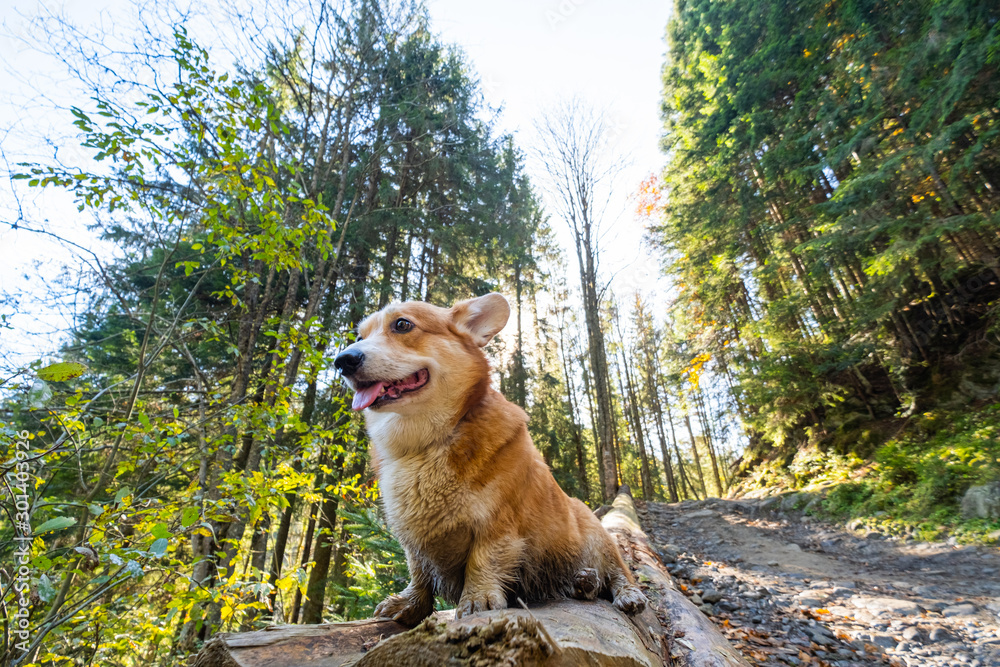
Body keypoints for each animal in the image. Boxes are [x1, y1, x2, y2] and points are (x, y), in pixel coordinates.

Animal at [334, 294, 648, 624]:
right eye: (360, 337)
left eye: (402, 324)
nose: (342, 361)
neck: (426, 444)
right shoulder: (413, 536)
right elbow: (419, 571)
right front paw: (409, 604)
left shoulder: (497, 524)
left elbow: (484, 560)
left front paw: (478, 600)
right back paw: (583, 582)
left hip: (598, 537)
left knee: (619, 572)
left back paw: (625, 593)